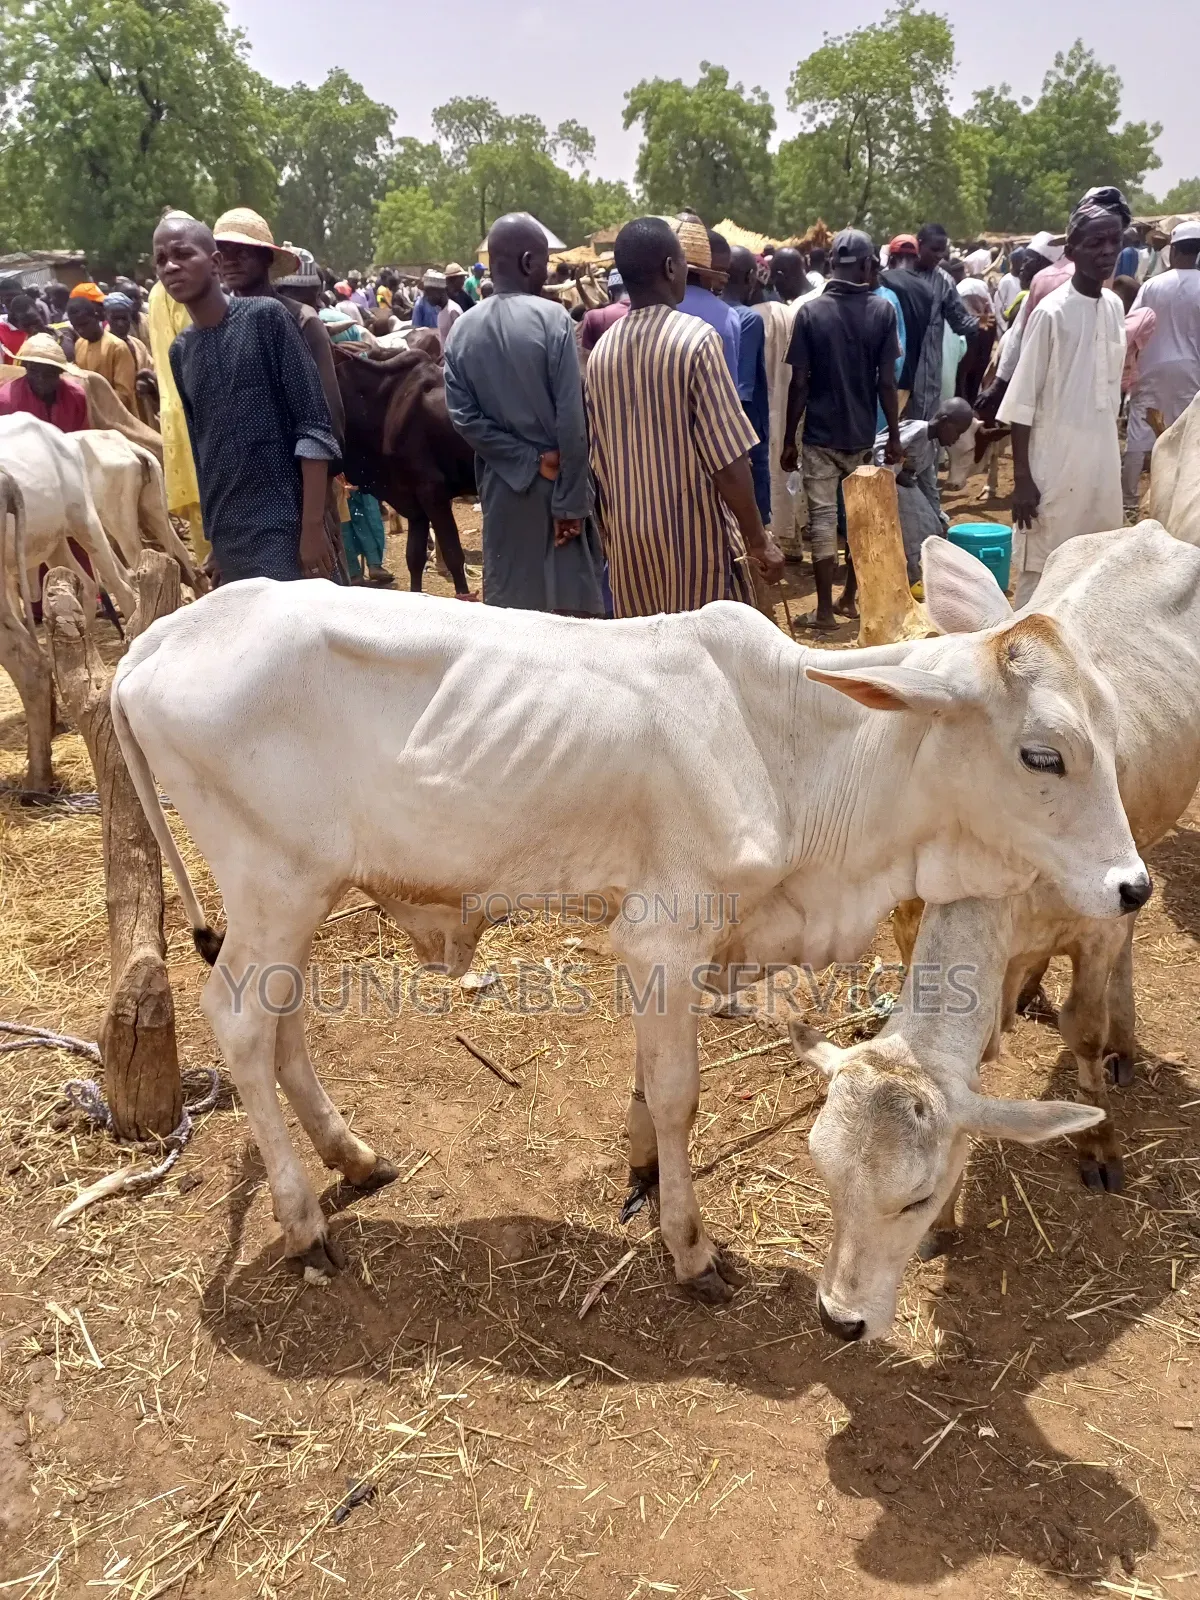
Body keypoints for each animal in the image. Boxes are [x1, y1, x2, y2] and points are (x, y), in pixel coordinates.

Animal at [110, 538, 1149, 1296]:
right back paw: (304, 1223)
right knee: (240, 1023)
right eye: (1043, 754)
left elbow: (652, 1084)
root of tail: (155, 642)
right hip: (272, 888)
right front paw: (689, 1249)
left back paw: (353, 1157)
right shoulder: (663, 935)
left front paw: (644, 1174)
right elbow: (681, 1092)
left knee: (280, 1029)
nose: (1133, 886)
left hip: (294, 903)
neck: (797, 749)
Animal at [790, 522, 1200, 1341]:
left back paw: (1125, 1039)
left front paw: (1098, 1140)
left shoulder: (1100, 923)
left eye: (912, 1197)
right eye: (825, 1176)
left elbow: (1084, 1030)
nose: (839, 1319)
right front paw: (950, 1224)